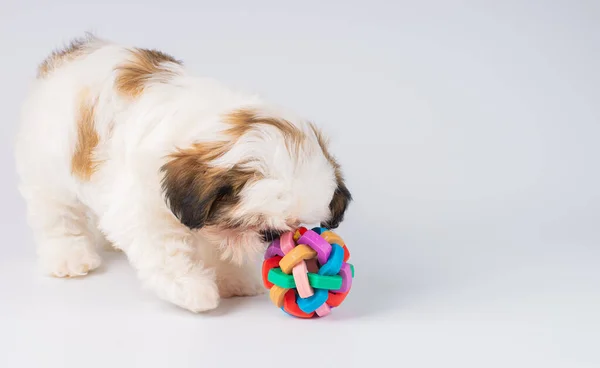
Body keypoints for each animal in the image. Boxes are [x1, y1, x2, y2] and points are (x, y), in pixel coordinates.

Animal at [15, 34, 352, 312]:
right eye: (260, 224)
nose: (272, 238)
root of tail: (66, 57)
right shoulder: (145, 206)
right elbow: (166, 251)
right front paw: (193, 288)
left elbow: (217, 244)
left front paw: (234, 278)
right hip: (48, 166)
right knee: (57, 214)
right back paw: (68, 255)